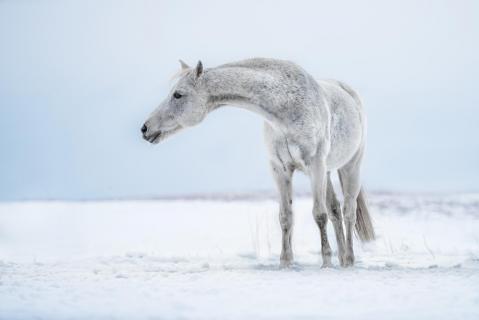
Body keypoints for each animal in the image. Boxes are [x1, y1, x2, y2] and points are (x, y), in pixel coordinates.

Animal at [142, 58, 376, 268]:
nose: (145, 128)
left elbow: (319, 214)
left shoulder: (315, 165)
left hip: (349, 167)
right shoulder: (280, 169)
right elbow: (286, 216)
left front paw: (325, 263)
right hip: (326, 173)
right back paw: (342, 258)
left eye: (178, 94)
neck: (287, 107)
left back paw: (348, 260)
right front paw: (285, 262)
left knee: (348, 212)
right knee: (336, 210)